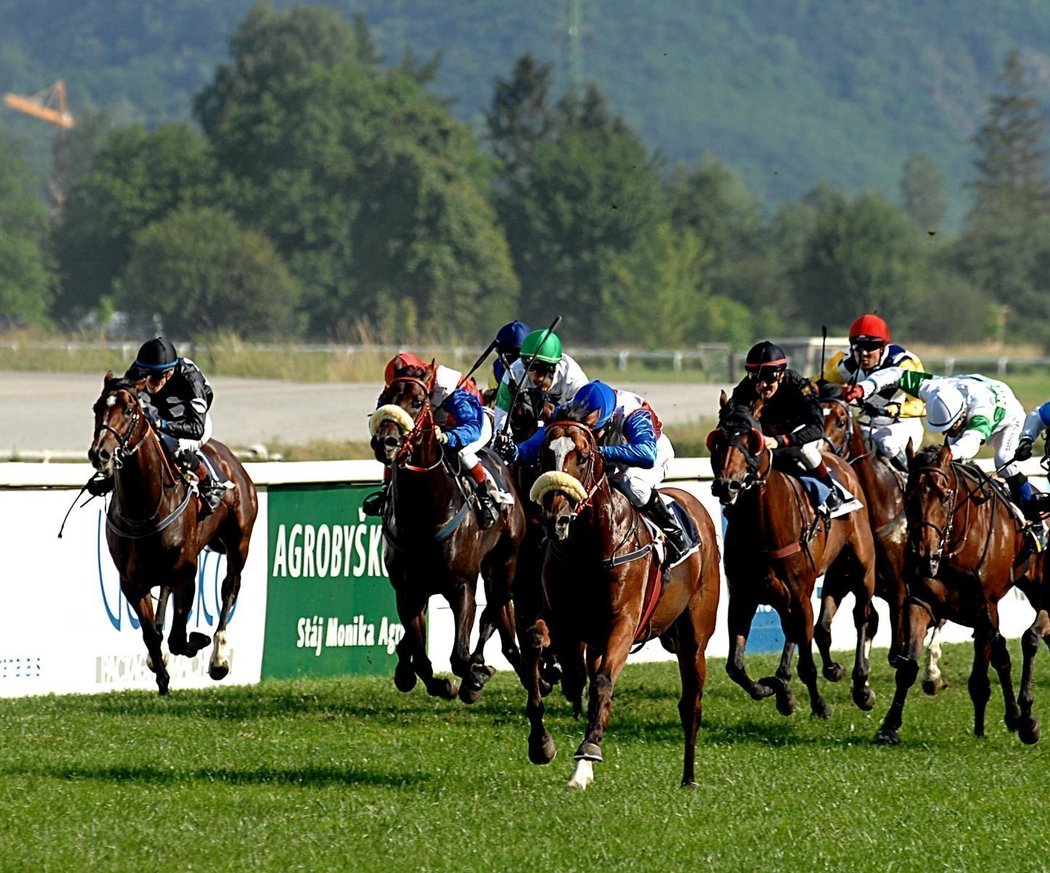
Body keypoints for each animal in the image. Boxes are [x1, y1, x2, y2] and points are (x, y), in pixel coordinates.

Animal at [87, 369, 257, 697]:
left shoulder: (185, 573)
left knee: (229, 587)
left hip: (239, 542)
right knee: (164, 599)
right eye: (97, 408)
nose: (99, 453)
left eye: (130, 410)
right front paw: (162, 676)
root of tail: (233, 460)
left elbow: (179, 637)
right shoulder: (131, 582)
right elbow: (151, 635)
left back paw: (218, 658)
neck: (144, 508)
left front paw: (198, 641)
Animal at [371, 373, 533, 701]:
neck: (424, 515)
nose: (385, 442)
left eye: (417, 402)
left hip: (504, 562)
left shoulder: (462, 586)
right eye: (384, 398)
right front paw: (437, 682)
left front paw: (476, 676)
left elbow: (459, 655)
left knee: (496, 610)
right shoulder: (407, 590)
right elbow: (420, 654)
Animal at [518, 416, 718, 790]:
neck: (589, 546)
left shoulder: (623, 625)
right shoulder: (563, 620)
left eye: (583, 457)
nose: (555, 519)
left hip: (695, 638)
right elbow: (538, 644)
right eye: (543, 455)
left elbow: (602, 684)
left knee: (691, 706)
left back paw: (688, 777)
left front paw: (588, 749)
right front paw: (541, 744)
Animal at [705, 399, 877, 718]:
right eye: (717, 439)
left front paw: (820, 704)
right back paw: (793, 680)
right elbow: (735, 665)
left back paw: (861, 686)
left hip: (861, 567)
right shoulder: (743, 597)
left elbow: (807, 663)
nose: (726, 486)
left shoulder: (800, 596)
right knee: (807, 630)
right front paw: (769, 688)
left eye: (753, 441)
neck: (762, 529)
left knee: (862, 617)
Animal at [877, 447, 1041, 747]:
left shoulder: (986, 611)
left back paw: (1023, 720)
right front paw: (889, 726)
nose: (924, 556)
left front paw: (982, 729)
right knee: (1003, 656)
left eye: (944, 495)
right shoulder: (920, 603)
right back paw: (1015, 717)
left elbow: (979, 679)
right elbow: (907, 669)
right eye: (908, 496)